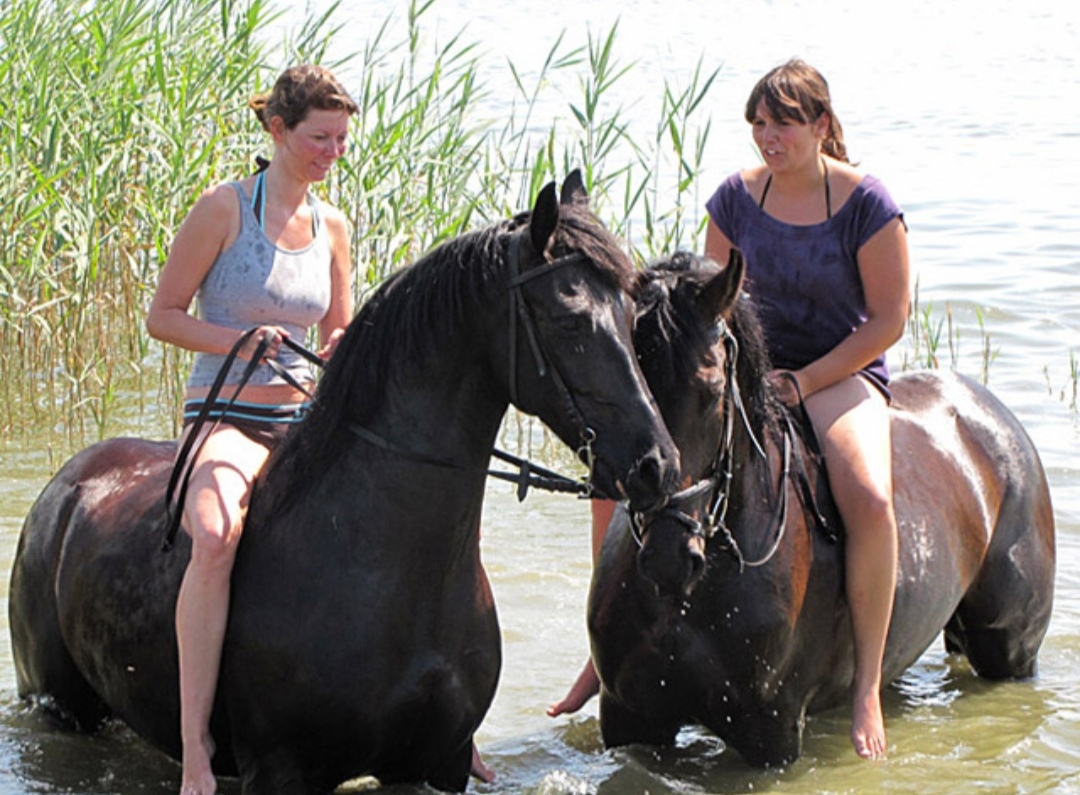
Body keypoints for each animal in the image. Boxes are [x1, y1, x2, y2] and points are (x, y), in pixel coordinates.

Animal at [8, 172, 681, 794]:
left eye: (632, 317)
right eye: (570, 322)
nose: (659, 466)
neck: (383, 568)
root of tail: (66, 487)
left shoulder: (435, 764)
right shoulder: (282, 771)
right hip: (60, 709)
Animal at [587, 250, 1055, 767]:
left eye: (712, 393)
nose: (668, 558)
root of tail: (993, 416)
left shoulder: (770, 732)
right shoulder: (631, 717)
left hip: (1010, 651)